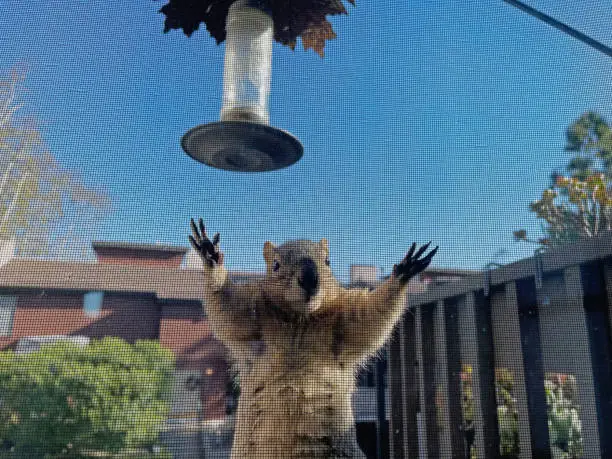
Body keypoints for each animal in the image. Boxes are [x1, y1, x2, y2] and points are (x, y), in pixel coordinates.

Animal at [189, 219, 438, 459]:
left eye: (328, 261)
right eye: (275, 265)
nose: (309, 278)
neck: (301, 320)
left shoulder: (344, 323)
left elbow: (370, 317)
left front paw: (402, 274)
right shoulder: (252, 317)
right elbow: (228, 308)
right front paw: (210, 257)